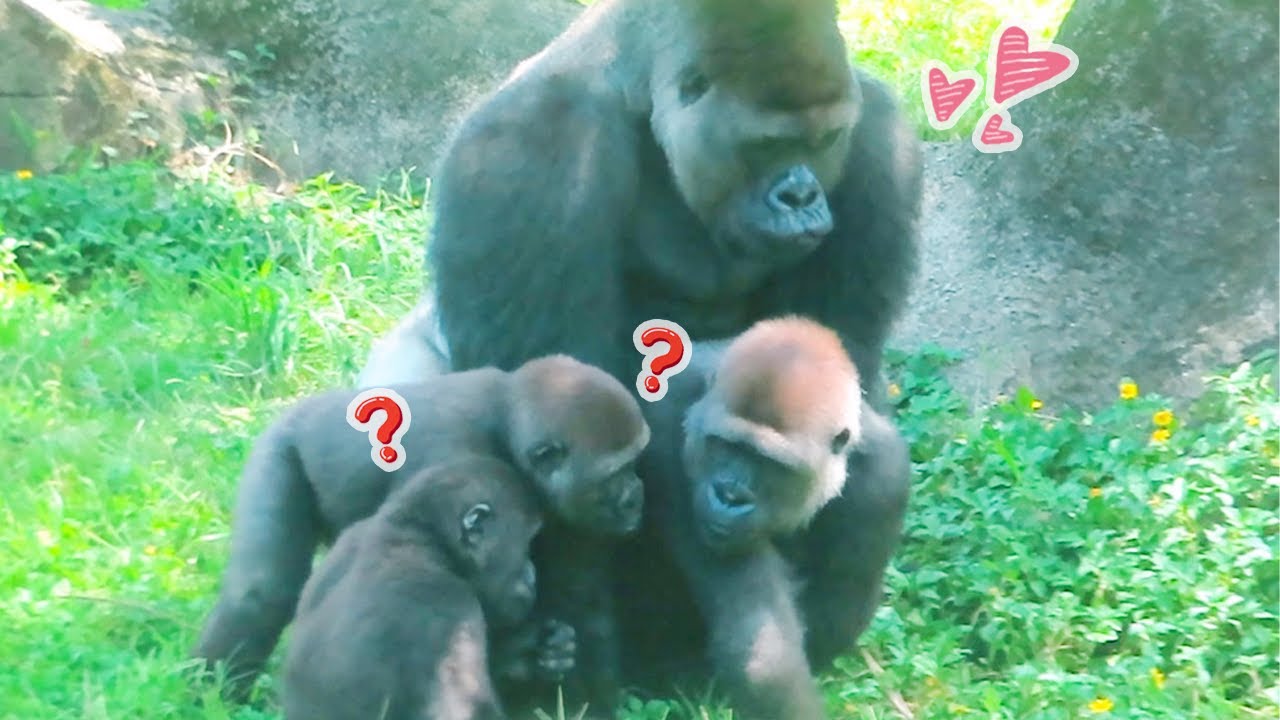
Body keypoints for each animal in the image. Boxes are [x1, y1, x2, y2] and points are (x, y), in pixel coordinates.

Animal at [610, 316, 911, 720]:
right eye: (724, 445)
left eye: (768, 462)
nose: (729, 495)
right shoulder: (667, 423)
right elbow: (765, 649)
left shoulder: (886, 480)